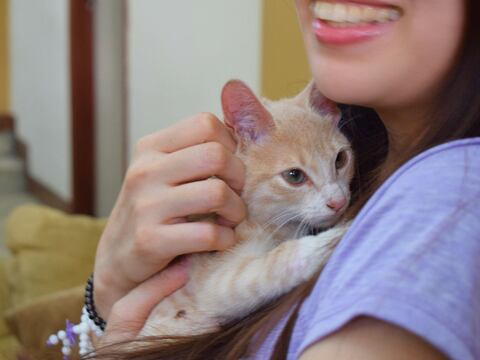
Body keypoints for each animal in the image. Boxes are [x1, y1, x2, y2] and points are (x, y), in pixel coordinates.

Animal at [139, 79, 352, 338]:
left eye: (340, 159)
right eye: (294, 176)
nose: (338, 202)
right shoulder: (211, 282)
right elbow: (268, 267)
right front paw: (330, 240)